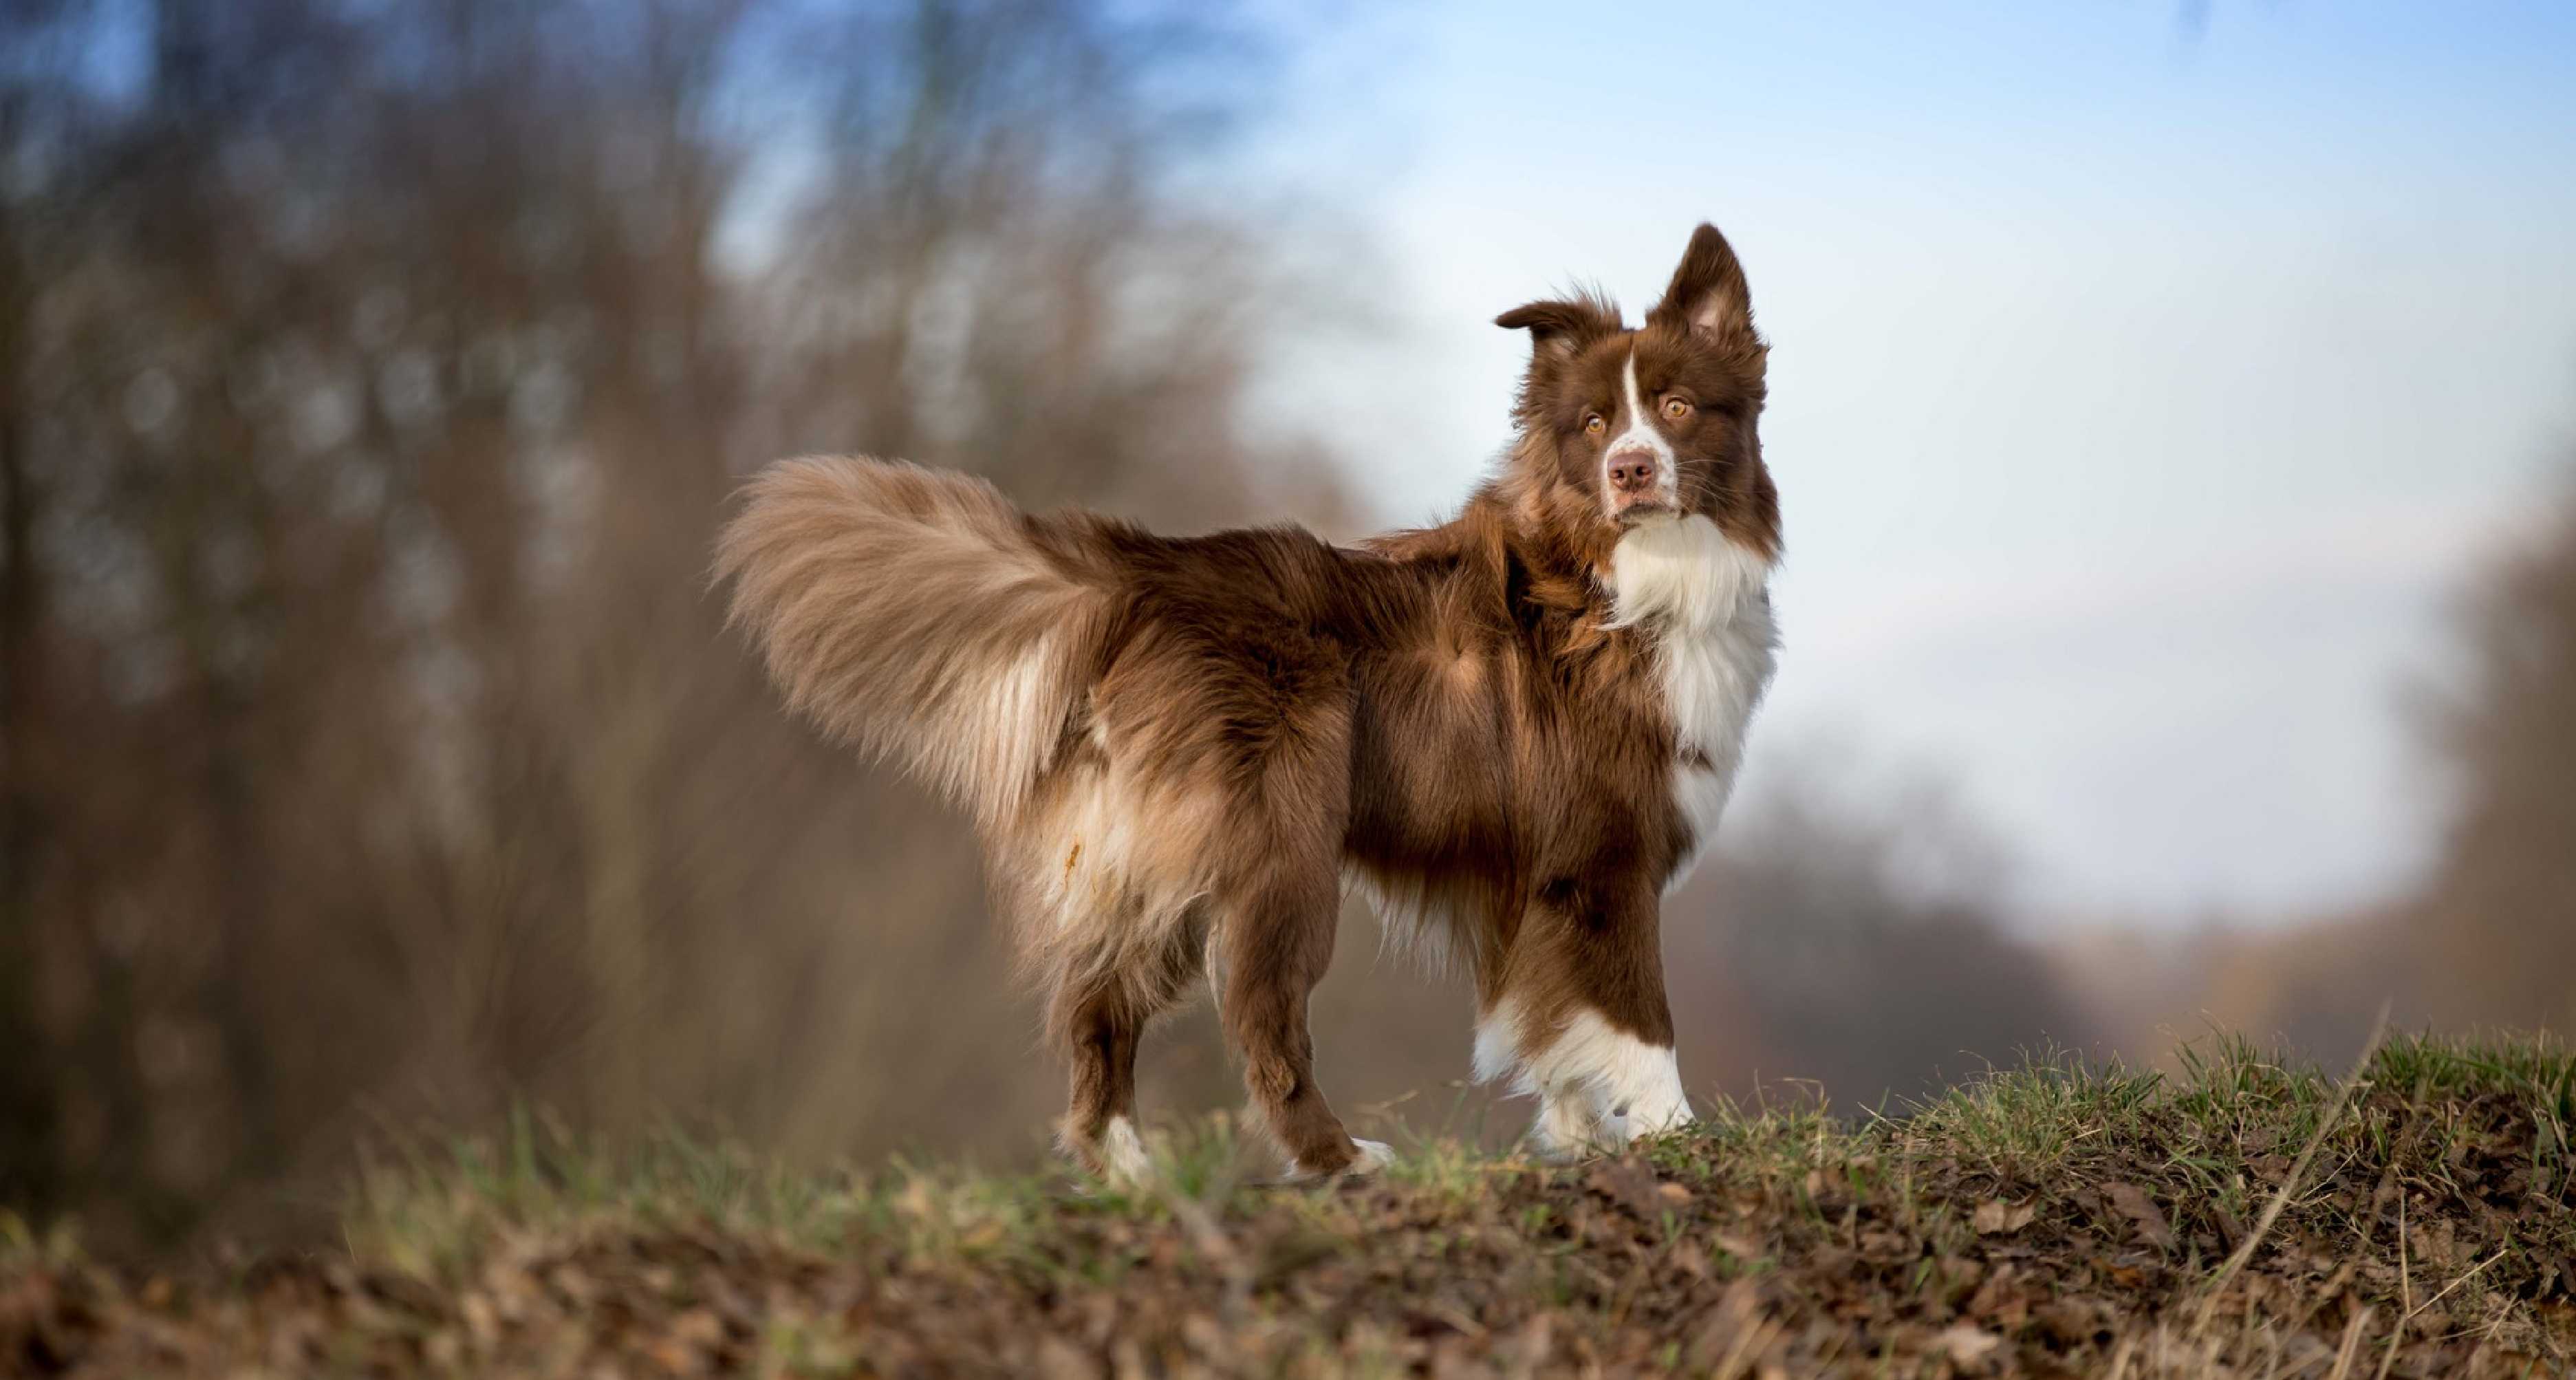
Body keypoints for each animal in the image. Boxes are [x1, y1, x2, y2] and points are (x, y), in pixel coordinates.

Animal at [716, 221, 1782, 1179]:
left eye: (1678, 405)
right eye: (1594, 425)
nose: (1630, 469)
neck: (1625, 580)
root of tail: (1137, 577)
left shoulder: (1537, 880)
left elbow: (1550, 1021)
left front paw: (1579, 1138)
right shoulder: (1603, 855)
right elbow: (1639, 1019)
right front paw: (1678, 1137)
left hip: (1142, 852)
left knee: (1099, 1002)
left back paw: (1129, 1172)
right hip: (1278, 843)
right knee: (1259, 1014)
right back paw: (1337, 1157)